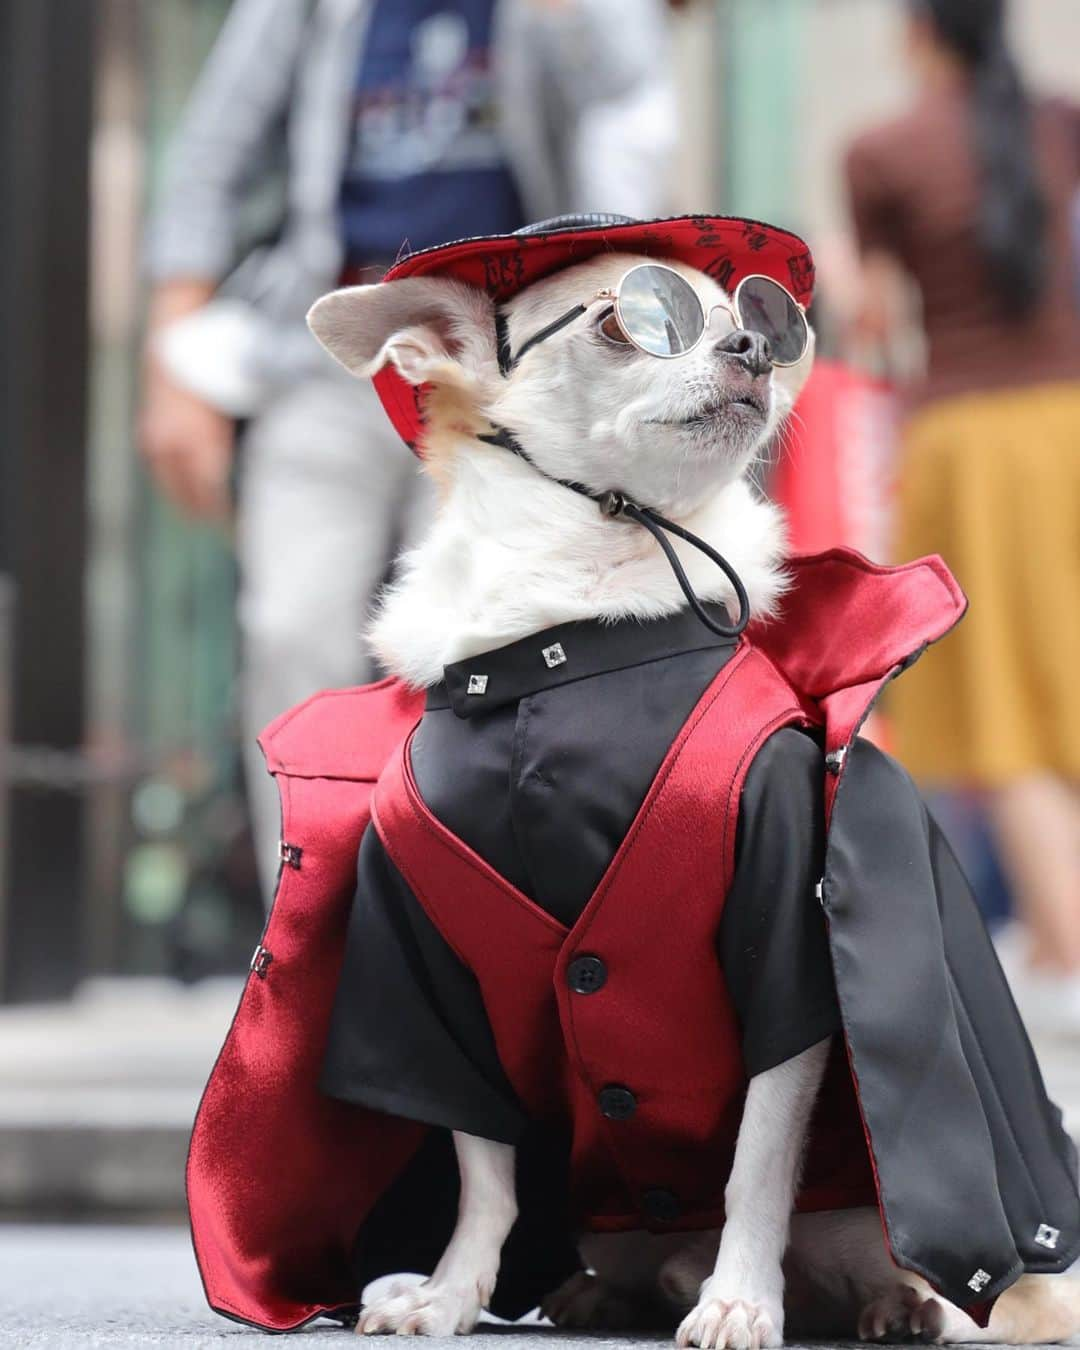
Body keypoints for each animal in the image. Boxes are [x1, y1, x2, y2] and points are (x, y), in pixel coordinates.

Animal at [306, 251, 1080, 1339]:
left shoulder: (782, 940)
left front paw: (740, 1302)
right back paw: (607, 1289)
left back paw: (885, 1303)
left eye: (752, 313)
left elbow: (758, 1158)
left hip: (878, 1226)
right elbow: (483, 1169)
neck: (573, 636)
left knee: (887, 1268)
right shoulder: (431, 958)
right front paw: (450, 1294)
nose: (753, 345)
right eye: (628, 320)